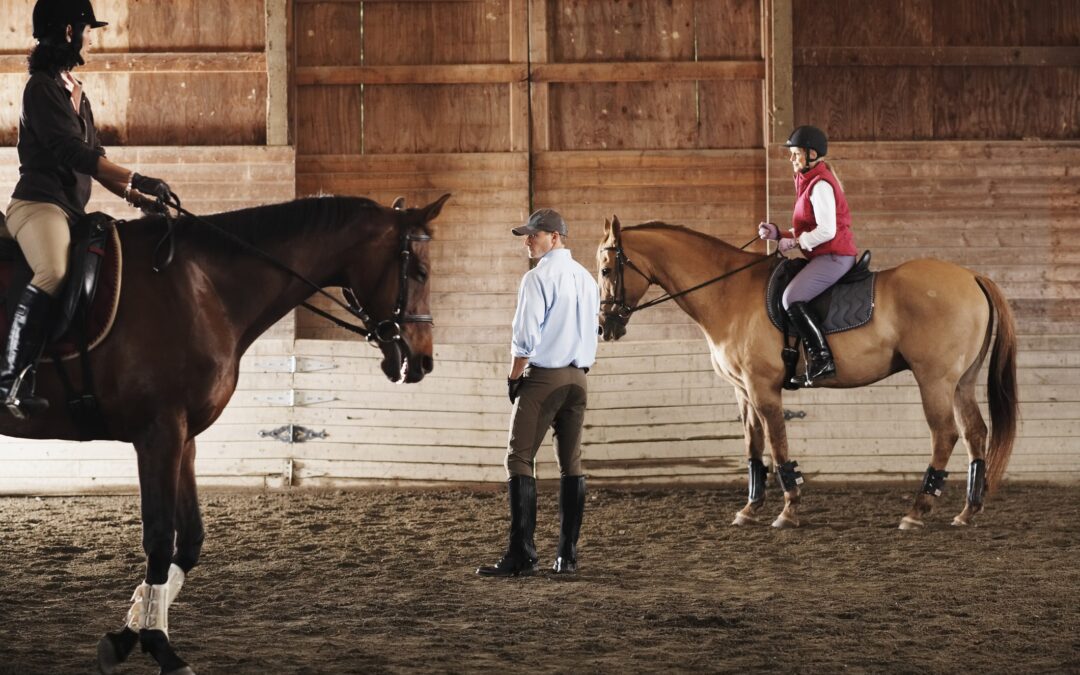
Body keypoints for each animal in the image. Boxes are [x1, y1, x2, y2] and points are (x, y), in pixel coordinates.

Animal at [0, 192, 447, 669]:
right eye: (419, 272)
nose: (421, 362)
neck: (204, 289)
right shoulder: (158, 432)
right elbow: (160, 538)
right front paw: (160, 647)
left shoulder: (184, 437)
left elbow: (190, 541)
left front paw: (128, 632)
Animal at [596, 216, 1015, 531]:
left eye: (605, 269)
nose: (604, 327)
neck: (728, 291)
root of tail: (972, 277)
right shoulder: (743, 391)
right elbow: (753, 446)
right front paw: (750, 509)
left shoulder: (762, 388)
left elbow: (777, 442)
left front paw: (789, 509)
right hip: (960, 382)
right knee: (975, 432)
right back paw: (967, 512)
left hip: (934, 380)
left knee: (945, 435)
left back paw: (917, 511)